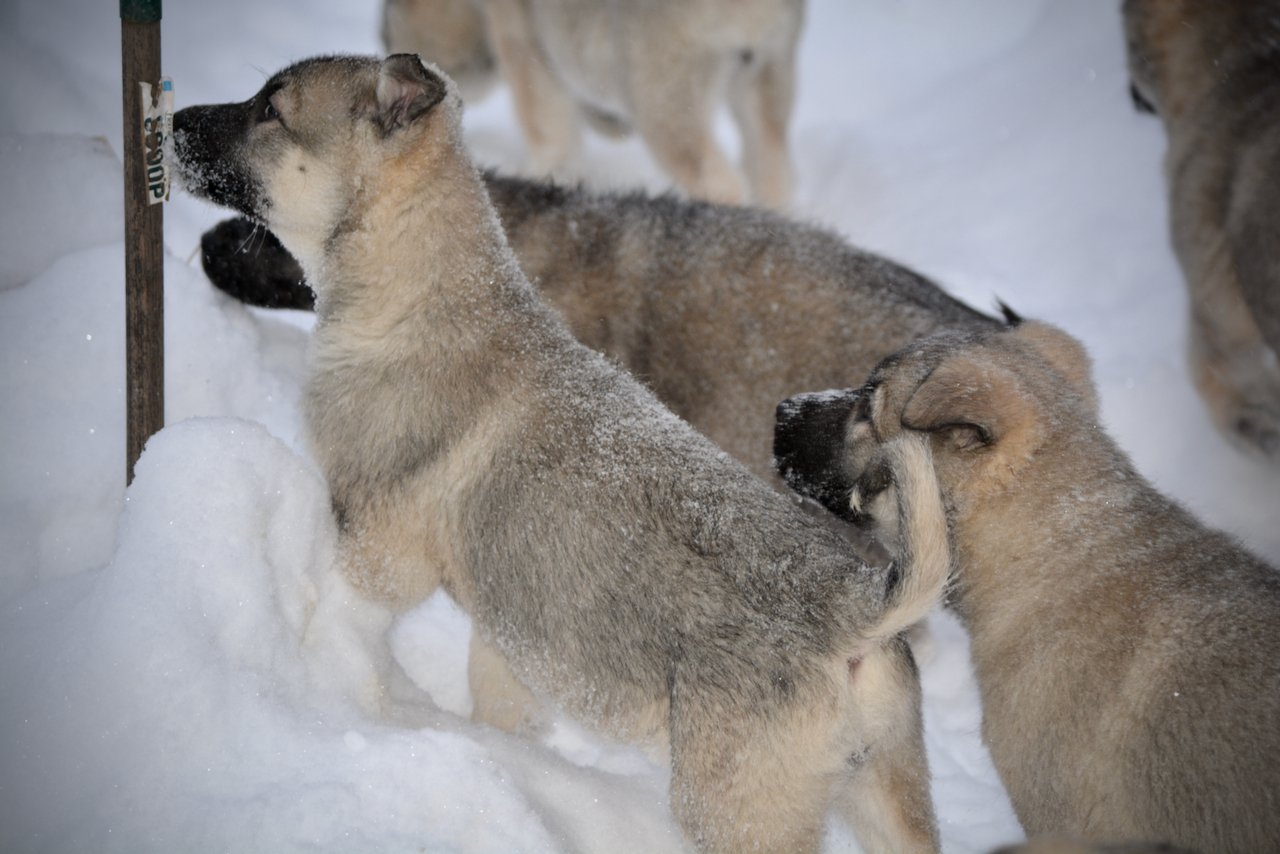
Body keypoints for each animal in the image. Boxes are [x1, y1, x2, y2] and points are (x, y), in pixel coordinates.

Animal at [378, 0, 803, 207]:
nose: (383, 37)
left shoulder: (522, 29)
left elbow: (543, 111)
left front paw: (547, 175)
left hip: (662, 64)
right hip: (771, 57)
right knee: (770, 151)